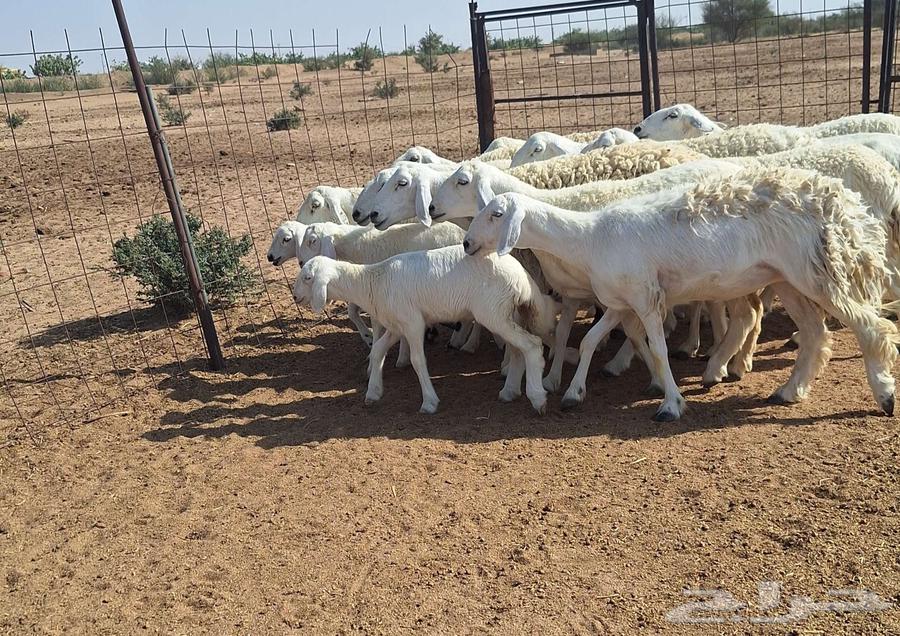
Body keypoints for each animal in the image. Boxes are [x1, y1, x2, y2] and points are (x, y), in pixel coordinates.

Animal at [292, 246, 559, 414]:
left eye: (307, 278)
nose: (294, 297)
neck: (372, 282)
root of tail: (522, 276)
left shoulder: (412, 323)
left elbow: (417, 360)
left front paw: (429, 402)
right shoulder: (396, 325)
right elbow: (377, 351)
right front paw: (373, 392)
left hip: (492, 311)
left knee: (531, 345)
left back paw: (537, 398)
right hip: (506, 313)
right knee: (517, 350)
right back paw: (510, 391)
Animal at [463, 168, 897, 421]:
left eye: (497, 215)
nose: (466, 244)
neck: (589, 238)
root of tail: (841, 203)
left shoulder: (646, 298)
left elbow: (657, 349)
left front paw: (670, 404)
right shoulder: (619, 302)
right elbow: (588, 342)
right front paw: (573, 393)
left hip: (818, 272)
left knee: (869, 328)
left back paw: (884, 394)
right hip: (788, 278)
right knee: (814, 333)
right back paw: (789, 391)